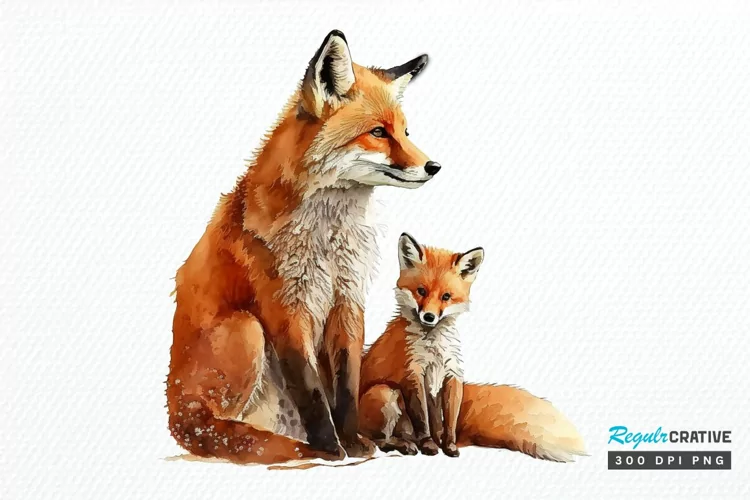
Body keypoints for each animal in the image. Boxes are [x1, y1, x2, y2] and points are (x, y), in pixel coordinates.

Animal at [167, 30, 441, 464]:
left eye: (406, 132)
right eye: (379, 133)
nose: (434, 167)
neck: (327, 238)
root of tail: (173, 407)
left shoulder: (348, 298)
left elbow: (346, 385)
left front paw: (353, 441)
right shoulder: (284, 305)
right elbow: (311, 389)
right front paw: (330, 447)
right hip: (247, 329)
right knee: (205, 431)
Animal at [359, 233, 587, 461]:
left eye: (446, 296)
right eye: (421, 291)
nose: (429, 317)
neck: (434, 346)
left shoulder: (449, 375)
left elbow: (447, 421)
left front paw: (447, 445)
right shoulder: (413, 375)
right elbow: (423, 419)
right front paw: (429, 445)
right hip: (385, 392)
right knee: (378, 440)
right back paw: (404, 445)